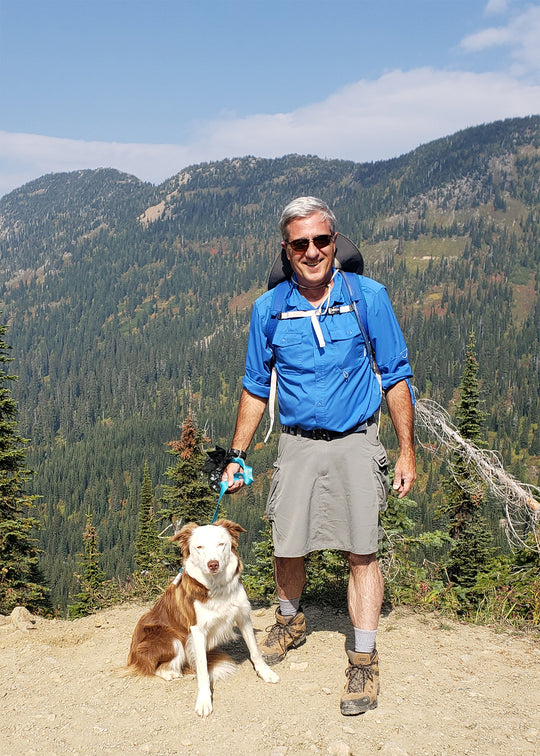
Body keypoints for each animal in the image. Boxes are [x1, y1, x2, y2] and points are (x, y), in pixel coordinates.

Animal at [126, 516, 278, 716]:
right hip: (171, 639)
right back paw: (169, 672)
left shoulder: (243, 616)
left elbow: (255, 650)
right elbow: (203, 670)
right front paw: (204, 700)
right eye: (199, 547)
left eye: (221, 544)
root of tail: (131, 654)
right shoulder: (197, 631)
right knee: (149, 666)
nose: (213, 564)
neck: (216, 588)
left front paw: (265, 672)